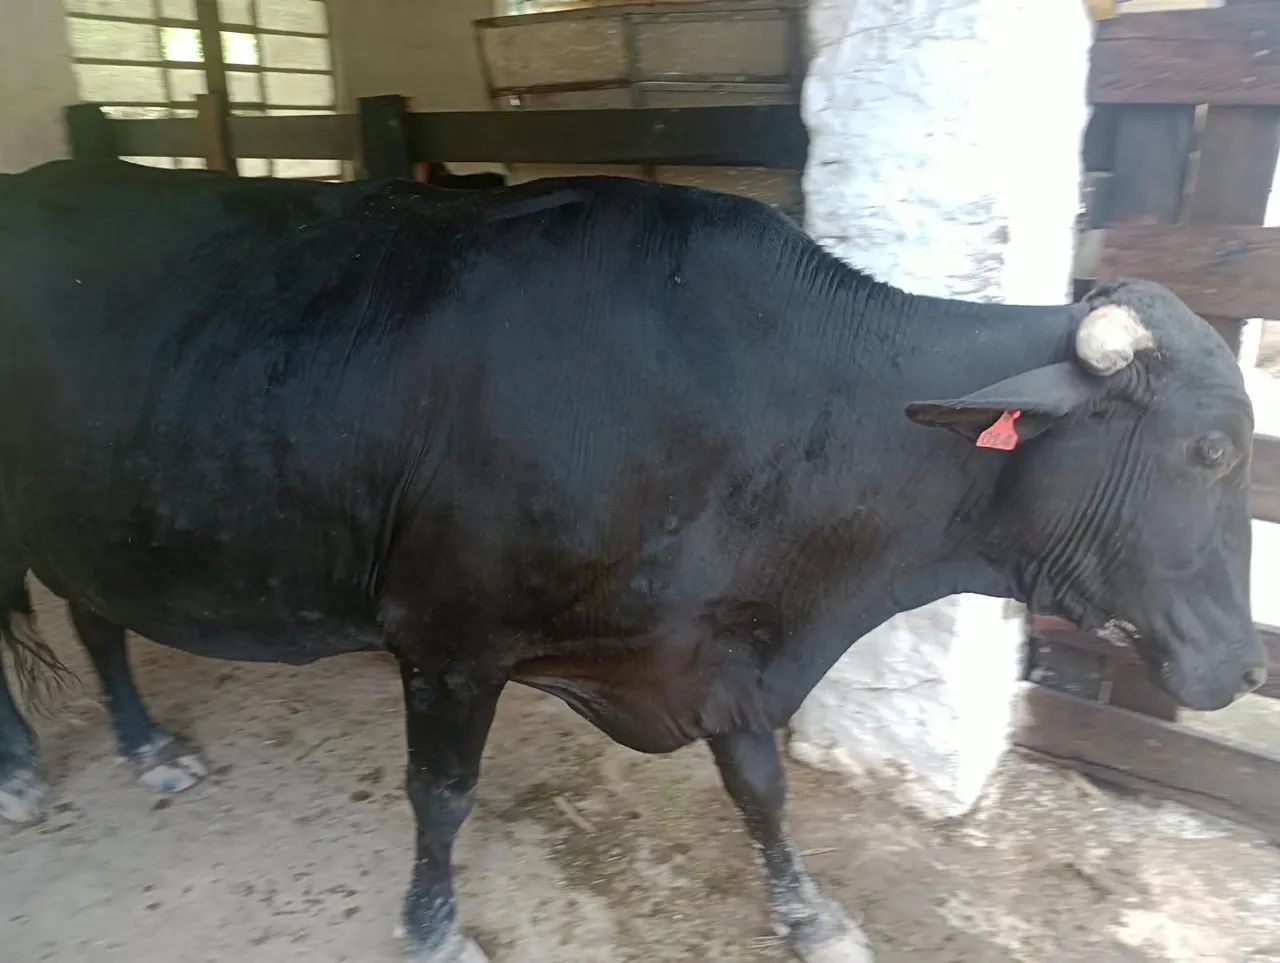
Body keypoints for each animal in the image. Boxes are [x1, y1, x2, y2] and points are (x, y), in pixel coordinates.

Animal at [0, 159, 1263, 963]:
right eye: (1209, 448)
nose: (1244, 664)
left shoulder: (716, 643)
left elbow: (758, 785)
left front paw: (809, 916)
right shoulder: (449, 636)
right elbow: (440, 792)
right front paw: (431, 927)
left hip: (89, 519)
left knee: (96, 617)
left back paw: (148, 747)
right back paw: (25, 770)